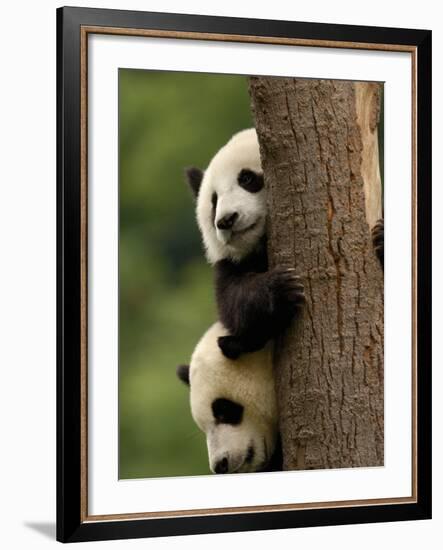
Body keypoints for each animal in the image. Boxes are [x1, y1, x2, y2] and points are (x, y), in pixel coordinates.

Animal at [186, 127, 384, 360]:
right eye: (214, 201)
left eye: (247, 178)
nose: (226, 220)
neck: (260, 246)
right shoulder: (230, 264)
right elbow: (233, 302)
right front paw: (281, 288)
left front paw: (381, 237)